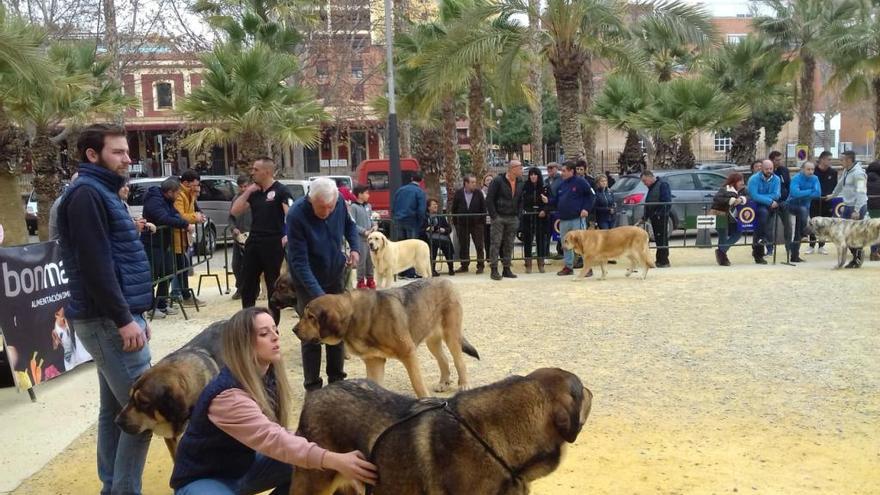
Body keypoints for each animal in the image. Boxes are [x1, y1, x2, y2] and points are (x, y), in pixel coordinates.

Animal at [292, 280, 478, 400]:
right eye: (305, 315)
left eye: (311, 317)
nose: (294, 330)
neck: (353, 316)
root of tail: (446, 280)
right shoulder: (374, 361)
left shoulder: (408, 354)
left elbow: (417, 383)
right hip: (432, 340)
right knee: (443, 359)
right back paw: (444, 382)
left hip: (451, 336)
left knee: (459, 361)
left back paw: (464, 384)